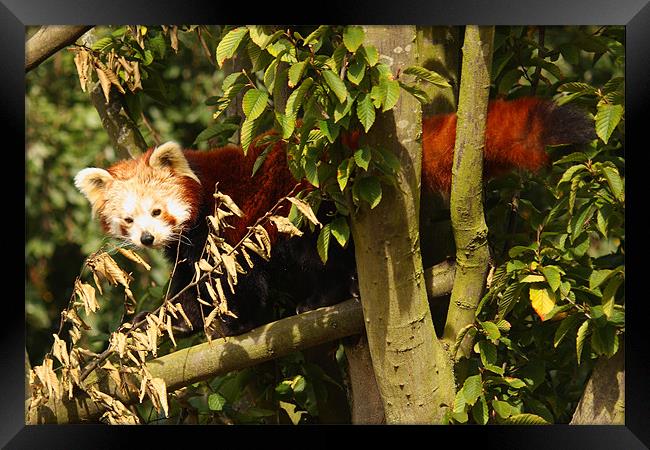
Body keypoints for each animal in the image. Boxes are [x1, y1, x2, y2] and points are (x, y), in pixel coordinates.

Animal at [74, 96, 592, 336]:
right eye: (128, 221)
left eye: (157, 211)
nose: (146, 239)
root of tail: (351, 144)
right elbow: (187, 282)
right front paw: (159, 319)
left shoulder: (229, 222)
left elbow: (233, 278)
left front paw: (231, 320)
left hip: (313, 202)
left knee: (317, 251)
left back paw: (325, 295)